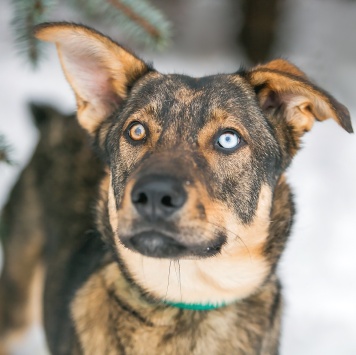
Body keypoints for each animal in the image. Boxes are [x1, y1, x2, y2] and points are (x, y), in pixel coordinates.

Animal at [0, 23, 352, 354]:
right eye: (136, 131)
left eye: (228, 139)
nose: (154, 195)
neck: (186, 298)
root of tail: (54, 120)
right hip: (16, 305)